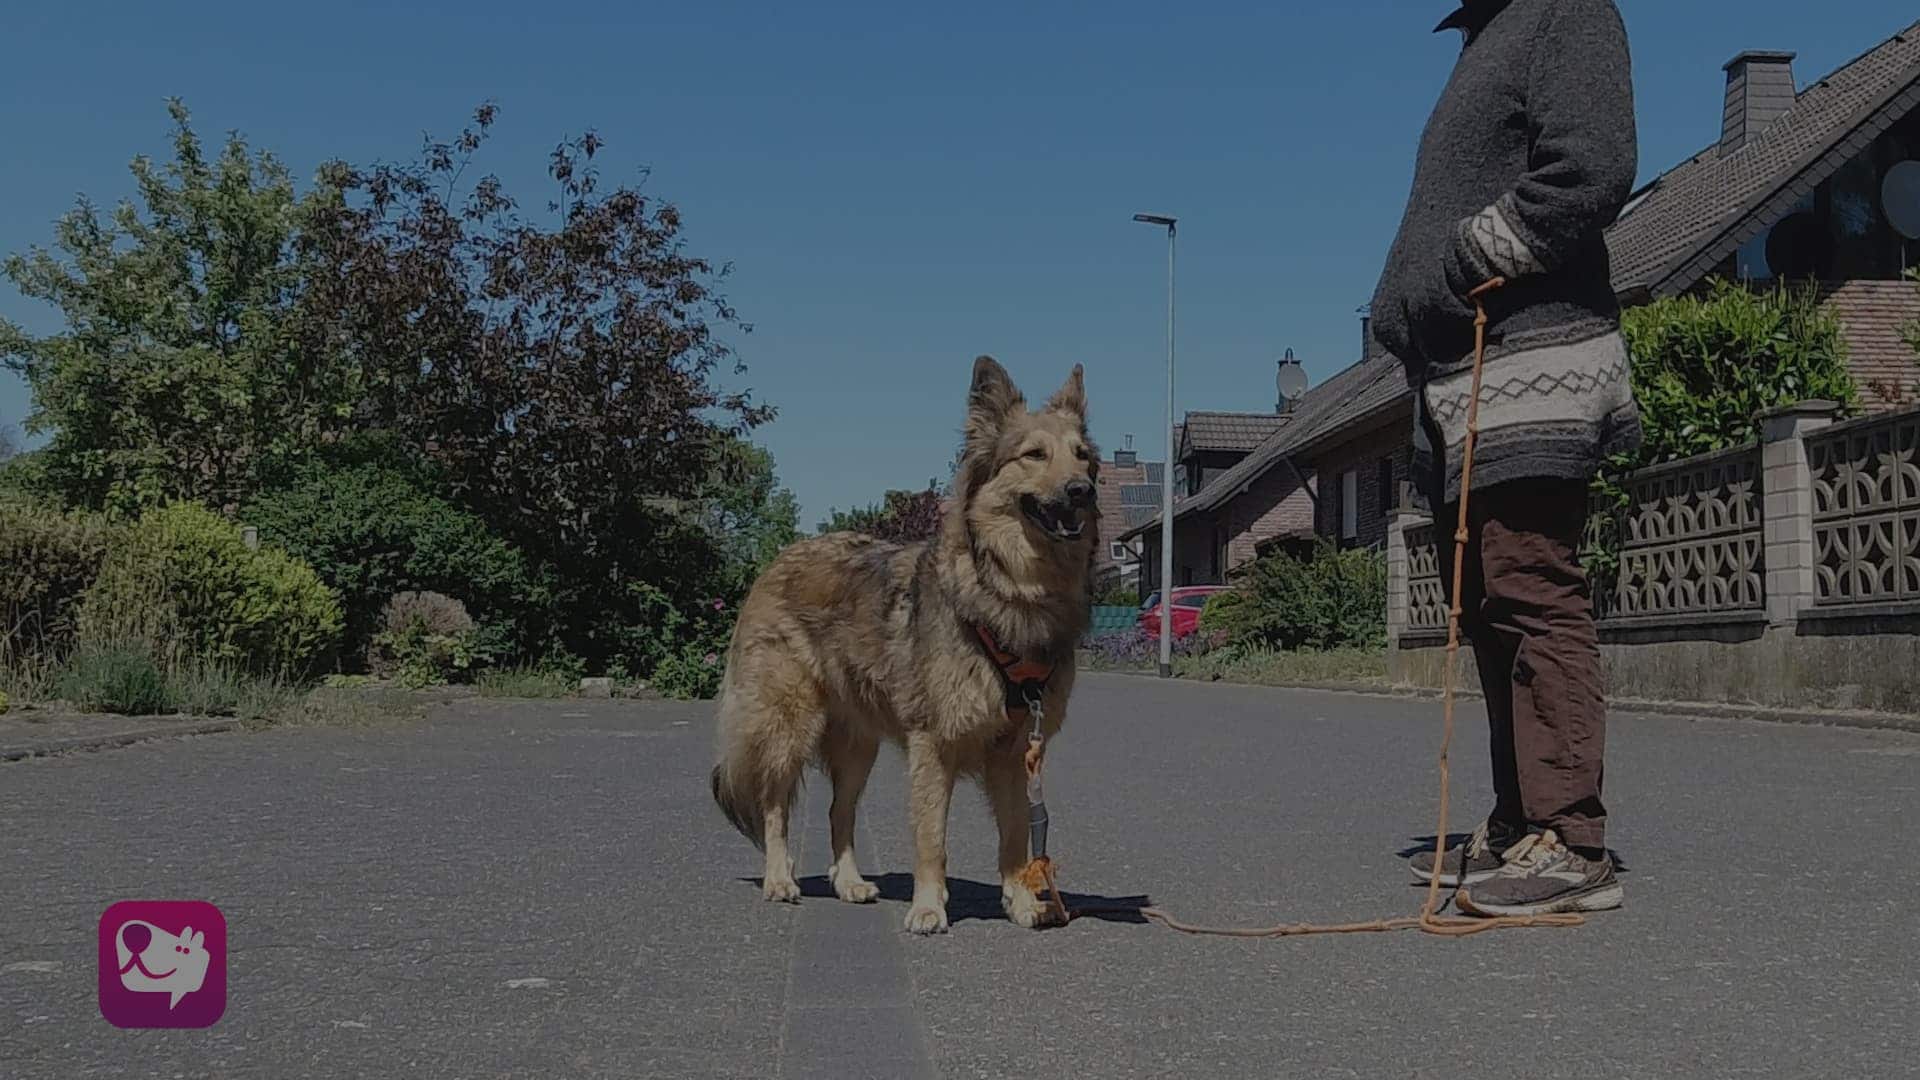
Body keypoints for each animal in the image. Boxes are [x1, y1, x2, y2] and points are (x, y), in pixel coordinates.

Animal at [710, 357, 1105, 930]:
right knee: (775, 805)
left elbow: (1015, 837)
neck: (1011, 589)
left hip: (858, 745)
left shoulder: (1014, 752)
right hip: (787, 724)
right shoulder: (933, 745)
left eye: (1083, 457)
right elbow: (931, 838)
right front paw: (928, 907)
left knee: (839, 810)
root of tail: (780, 557)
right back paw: (780, 879)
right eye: (1034, 455)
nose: (1083, 491)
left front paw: (1023, 903)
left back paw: (849, 882)